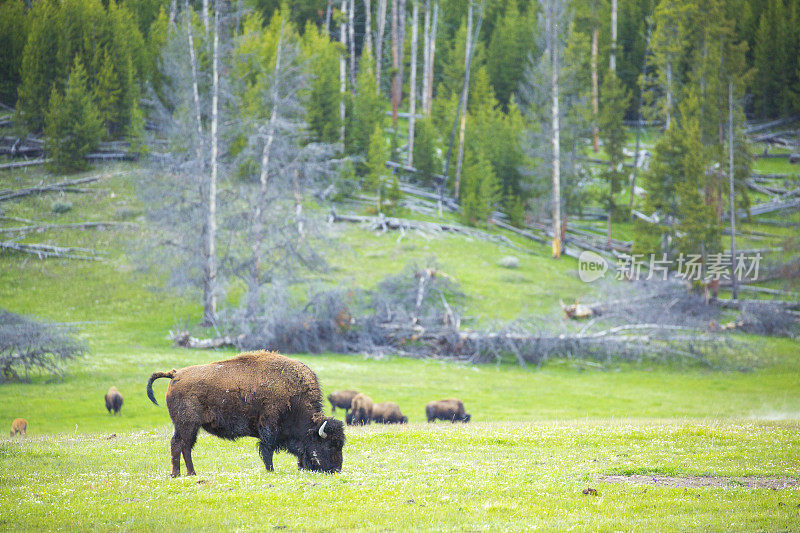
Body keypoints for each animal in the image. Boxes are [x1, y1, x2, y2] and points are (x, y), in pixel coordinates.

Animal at [147, 352, 344, 476]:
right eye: (329, 445)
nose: (336, 470)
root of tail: (175, 374)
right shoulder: (269, 428)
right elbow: (267, 450)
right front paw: (270, 470)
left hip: (190, 427)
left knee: (186, 446)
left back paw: (191, 473)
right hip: (186, 424)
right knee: (178, 444)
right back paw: (177, 474)